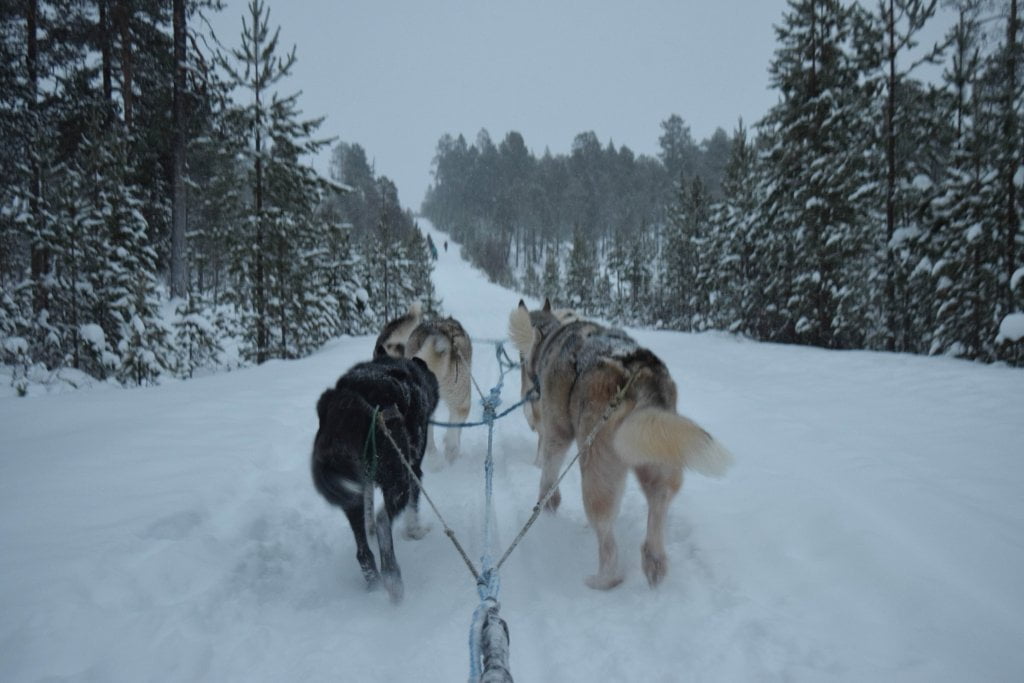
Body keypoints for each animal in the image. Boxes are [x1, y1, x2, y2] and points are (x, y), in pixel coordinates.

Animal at [311, 356, 440, 602]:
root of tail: (348, 397)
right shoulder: (413, 471)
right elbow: (412, 510)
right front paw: (415, 532)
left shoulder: (365, 482)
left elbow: (369, 510)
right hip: (398, 481)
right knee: (382, 521)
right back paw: (392, 576)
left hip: (351, 497)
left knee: (362, 550)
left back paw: (374, 581)